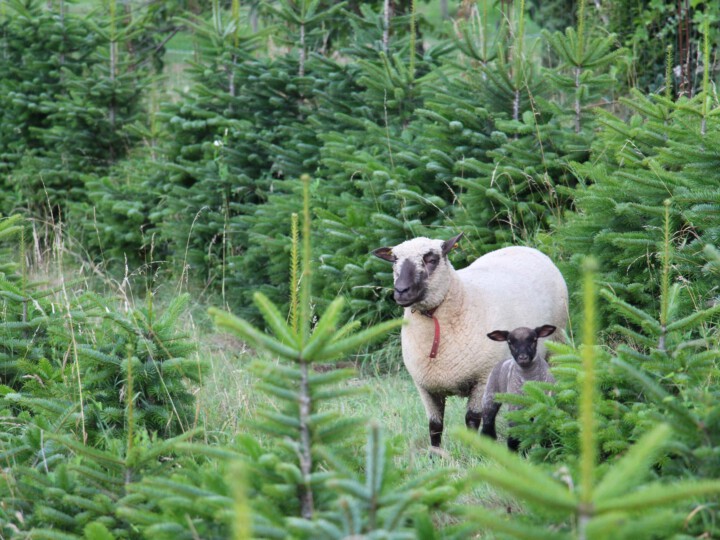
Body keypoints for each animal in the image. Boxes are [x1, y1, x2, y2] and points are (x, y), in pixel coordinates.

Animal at [372, 232, 568, 448]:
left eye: (431, 259)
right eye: (394, 260)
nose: (401, 291)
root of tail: (525, 248)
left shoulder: (482, 377)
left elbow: (472, 420)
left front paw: (474, 449)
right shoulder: (425, 386)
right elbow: (435, 426)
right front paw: (435, 454)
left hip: (557, 342)